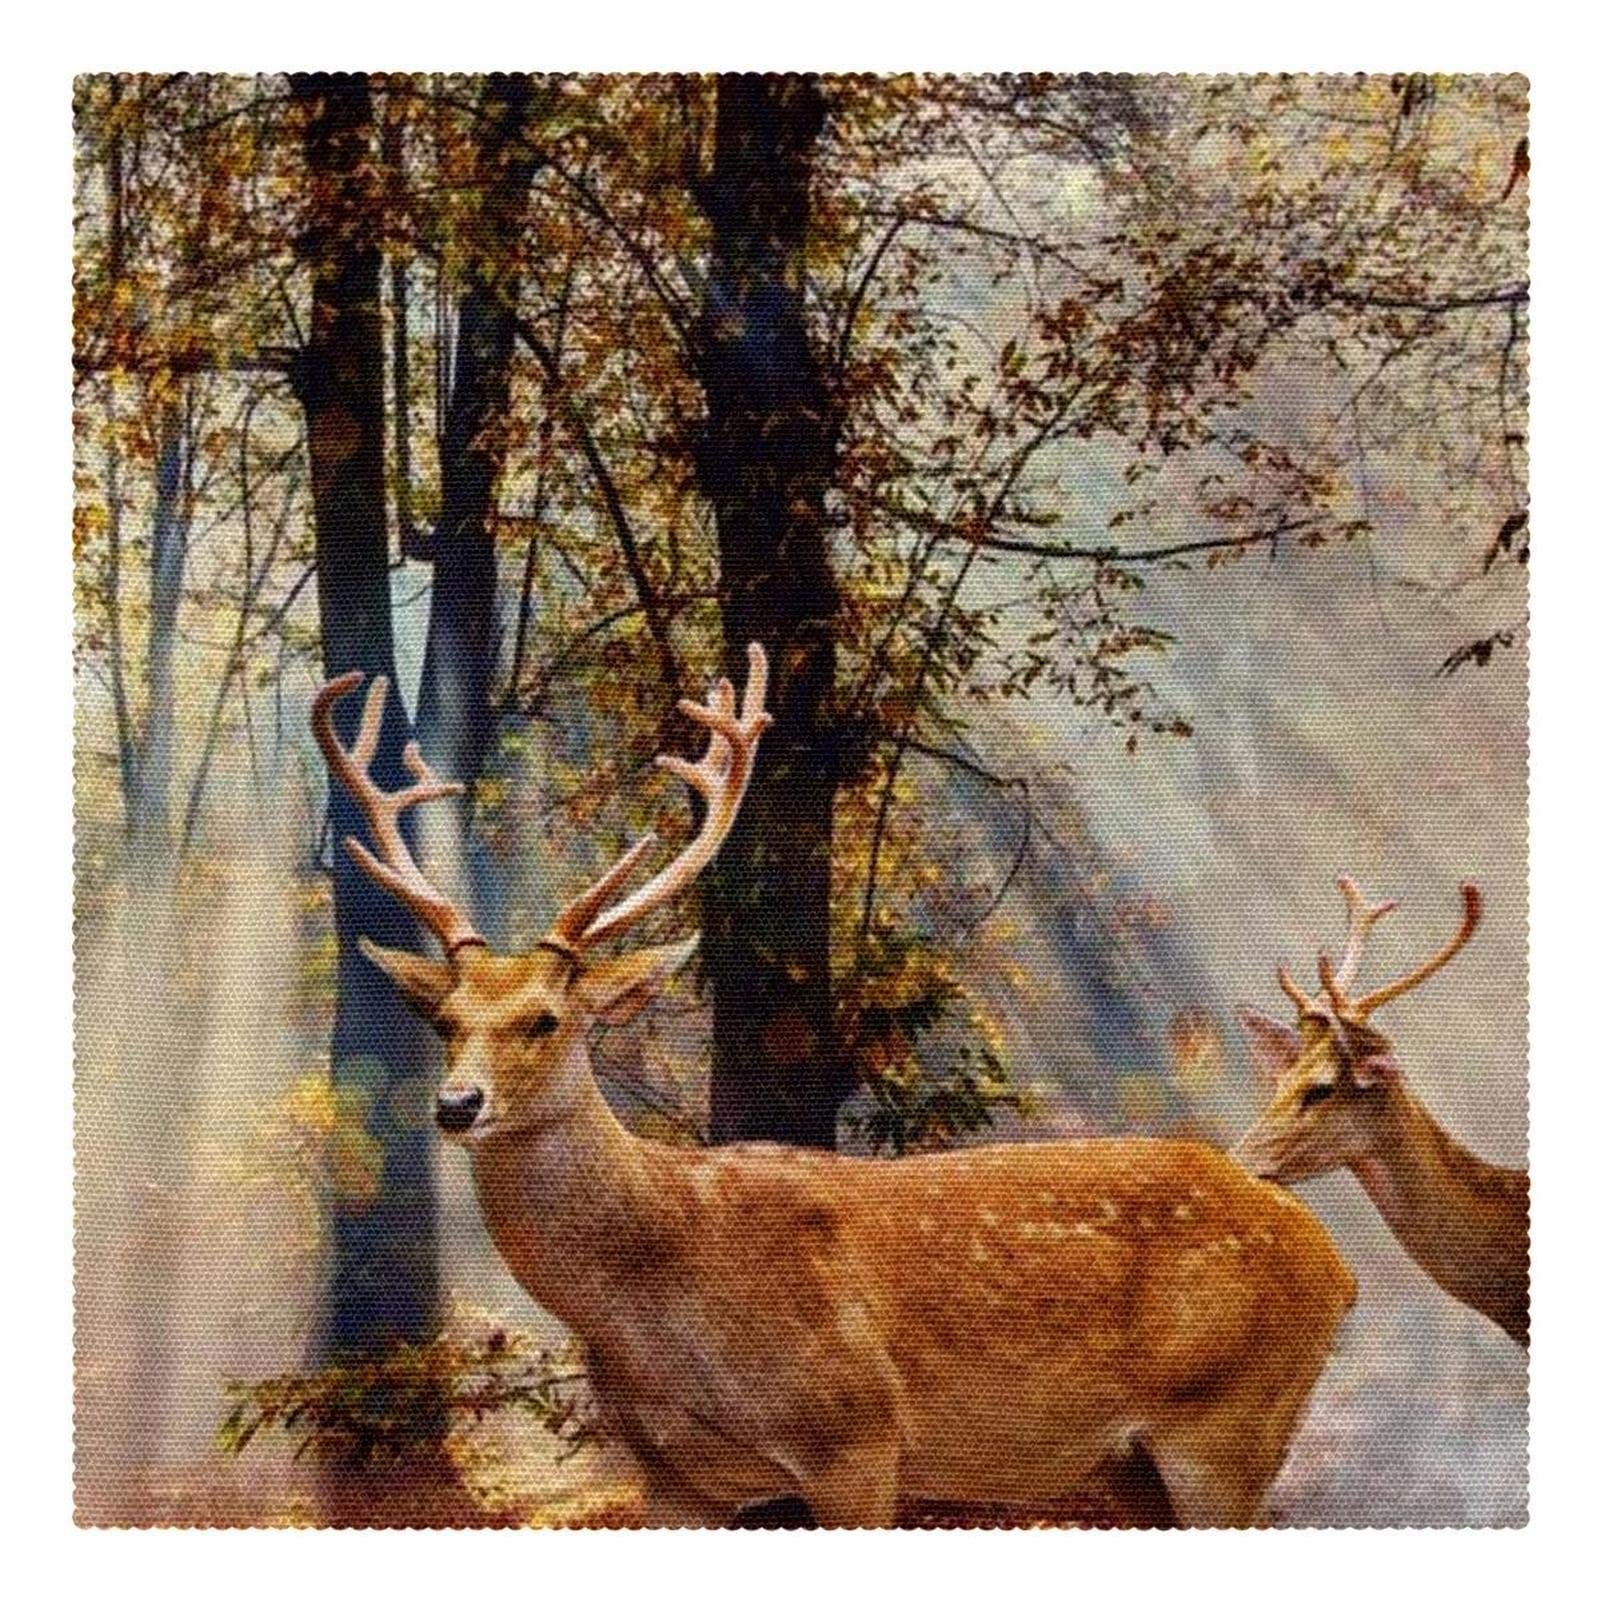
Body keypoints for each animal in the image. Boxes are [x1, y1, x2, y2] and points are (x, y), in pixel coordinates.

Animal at [311, 643, 1356, 1527]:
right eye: (445, 1022)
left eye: (546, 1019)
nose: (457, 1104)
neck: (655, 1296)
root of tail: (1337, 1268)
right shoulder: (668, 1473)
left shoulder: (856, 1432)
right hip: (1138, 1466)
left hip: (1229, 1424)